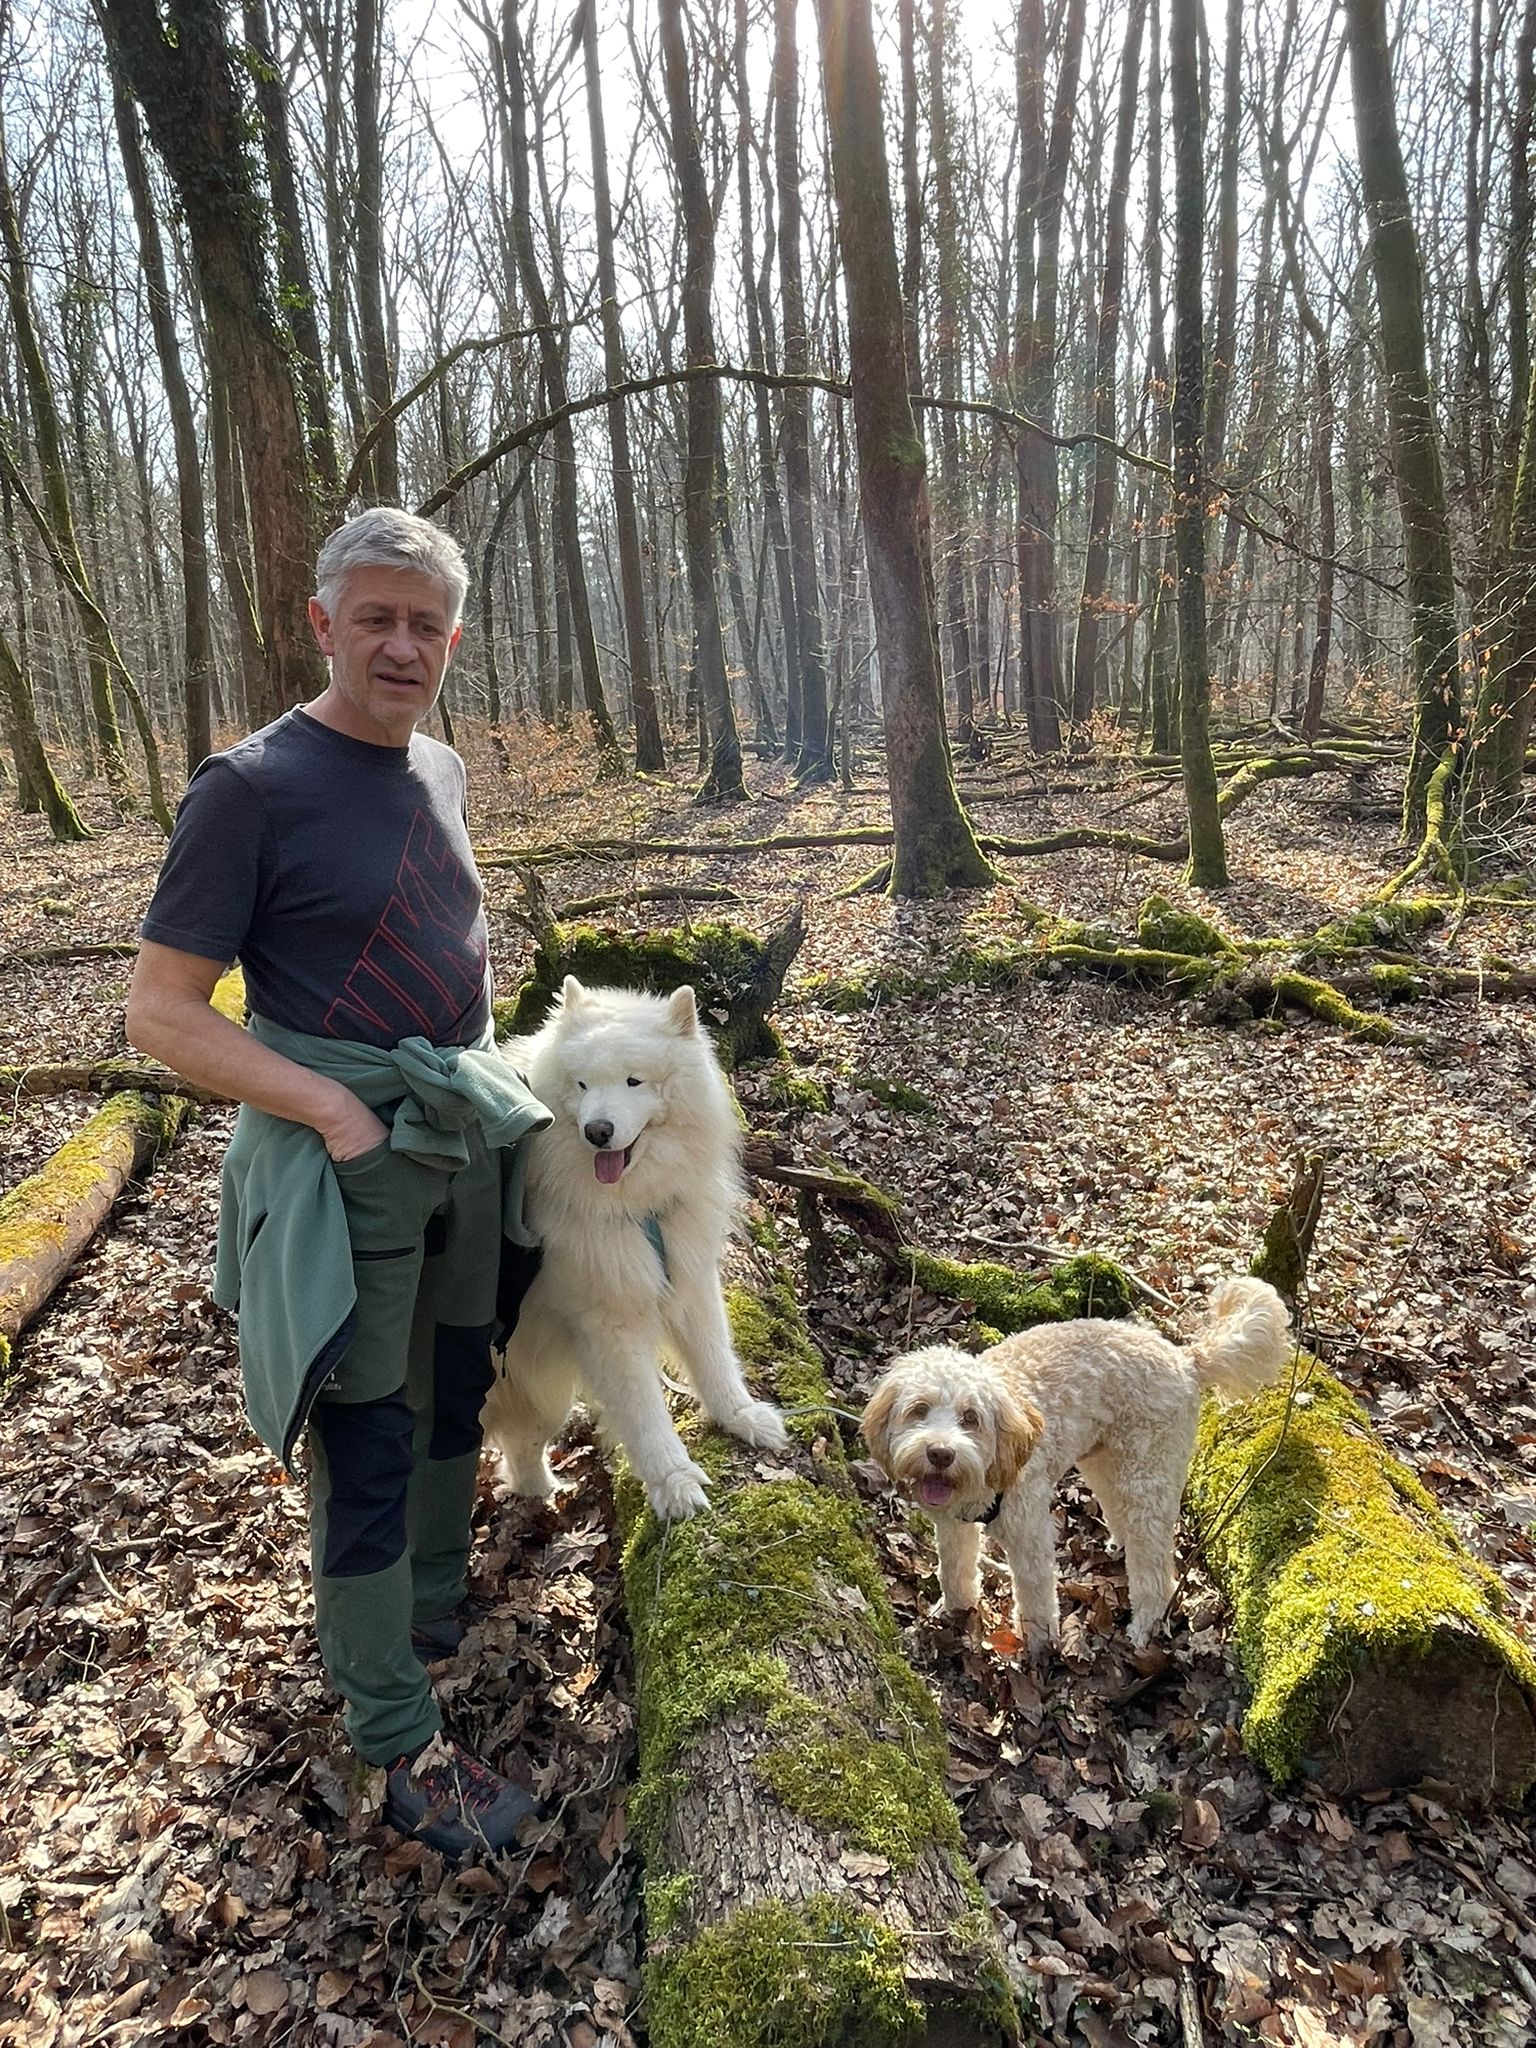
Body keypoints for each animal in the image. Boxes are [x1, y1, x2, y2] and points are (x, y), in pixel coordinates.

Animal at [481, 977, 788, 1520]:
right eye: (582, 1085)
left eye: (633, 1082)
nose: (597, 1131)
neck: (639, 1210)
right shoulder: (610, 1325)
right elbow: (645, 1414)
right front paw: (675, 1483)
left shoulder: (689, 1281)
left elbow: (715, 1361)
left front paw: (743, 1417)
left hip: (541, 1389)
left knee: (520, 1450)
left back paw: (545, 1494)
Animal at [861, 1278, 1291, 1650]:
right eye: (919, 1409)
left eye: (971, 1418)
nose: (940, 1453)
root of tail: (1184, 1358)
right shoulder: (954, 1526)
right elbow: (955, 1569)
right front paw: (956, 1611)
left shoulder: (1029, 1532)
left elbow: (1035, 1594)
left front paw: (1037, 1648)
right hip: (1105, 1464)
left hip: (1148, 1475)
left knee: (1154, 1566)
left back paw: (1145, 1625)